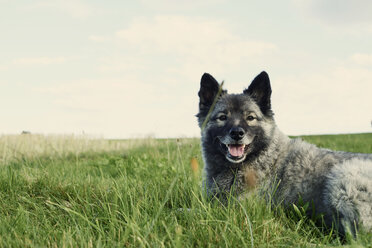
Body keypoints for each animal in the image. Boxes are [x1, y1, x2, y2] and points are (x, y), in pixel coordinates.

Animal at [196, 71, 370, 236]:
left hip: (344, 178)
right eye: (222, 117)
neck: (266, 156)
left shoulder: (235, 208)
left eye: (250, 117)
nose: (237, 133)